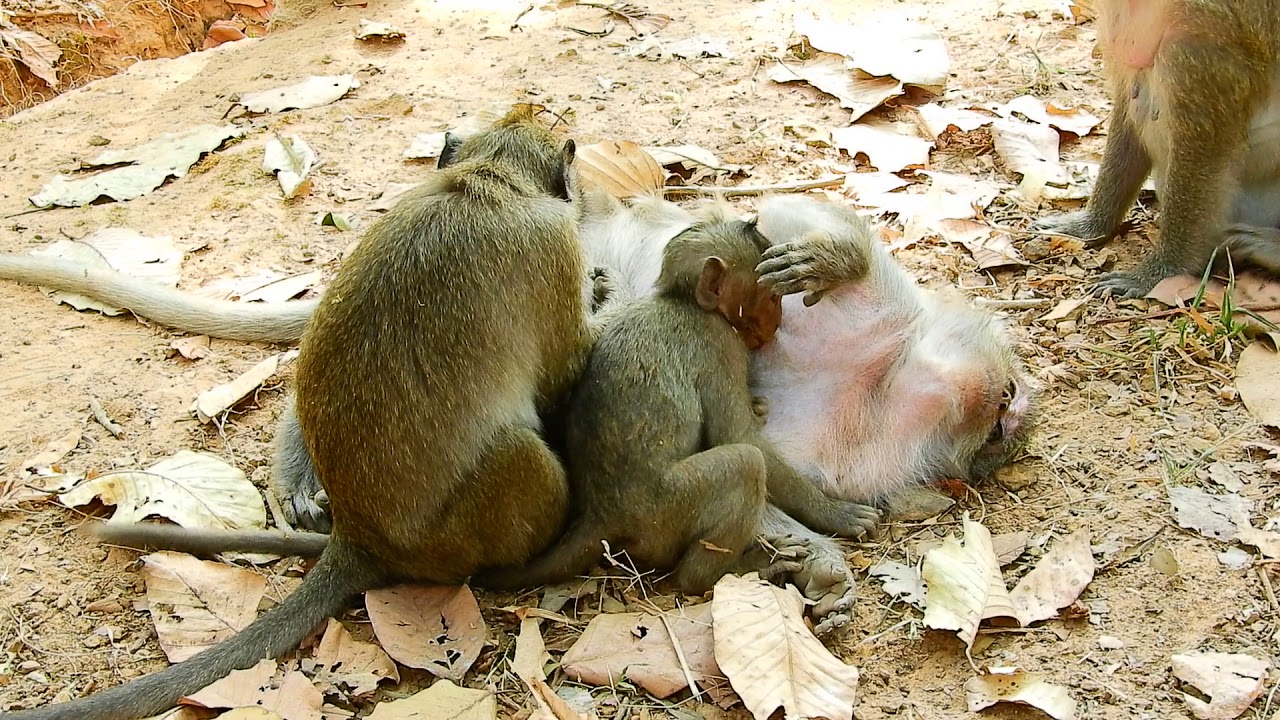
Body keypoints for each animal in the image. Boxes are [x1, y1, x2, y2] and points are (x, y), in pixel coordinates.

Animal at [2, 106, 604, 720]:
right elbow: (562, 371)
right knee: (520, 453)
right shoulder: (553, 246)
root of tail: (360, 538)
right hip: (475, 523)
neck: (485, 180)